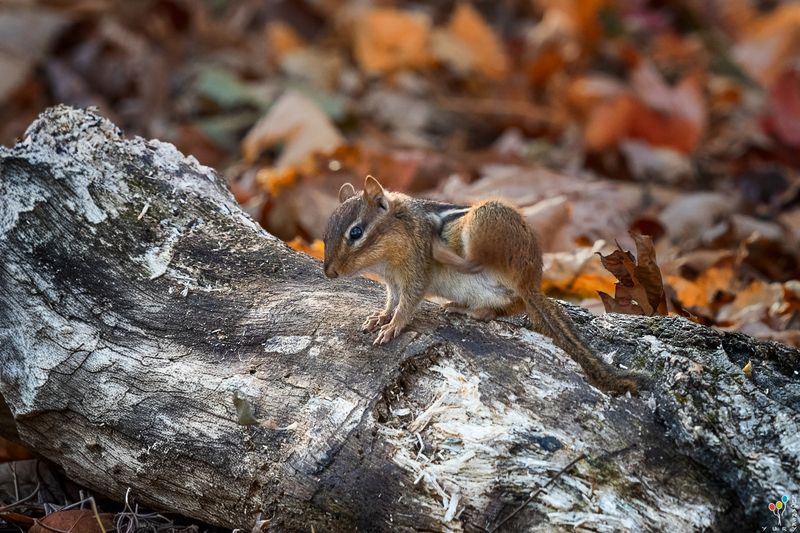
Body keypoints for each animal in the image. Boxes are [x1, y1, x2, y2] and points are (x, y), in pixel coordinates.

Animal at [323, 175, 646, 395]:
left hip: (485, 215)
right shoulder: (392, 281)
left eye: (356, 232)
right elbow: (391, 300)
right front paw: (380, 317)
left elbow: (408, 302)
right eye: (326, 233)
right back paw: (465, 309)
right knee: (499, 309)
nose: (329, 273)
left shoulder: (416, 271)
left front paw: (393, 326)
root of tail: (531, 281)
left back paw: (444, 255)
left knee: (475, 264)